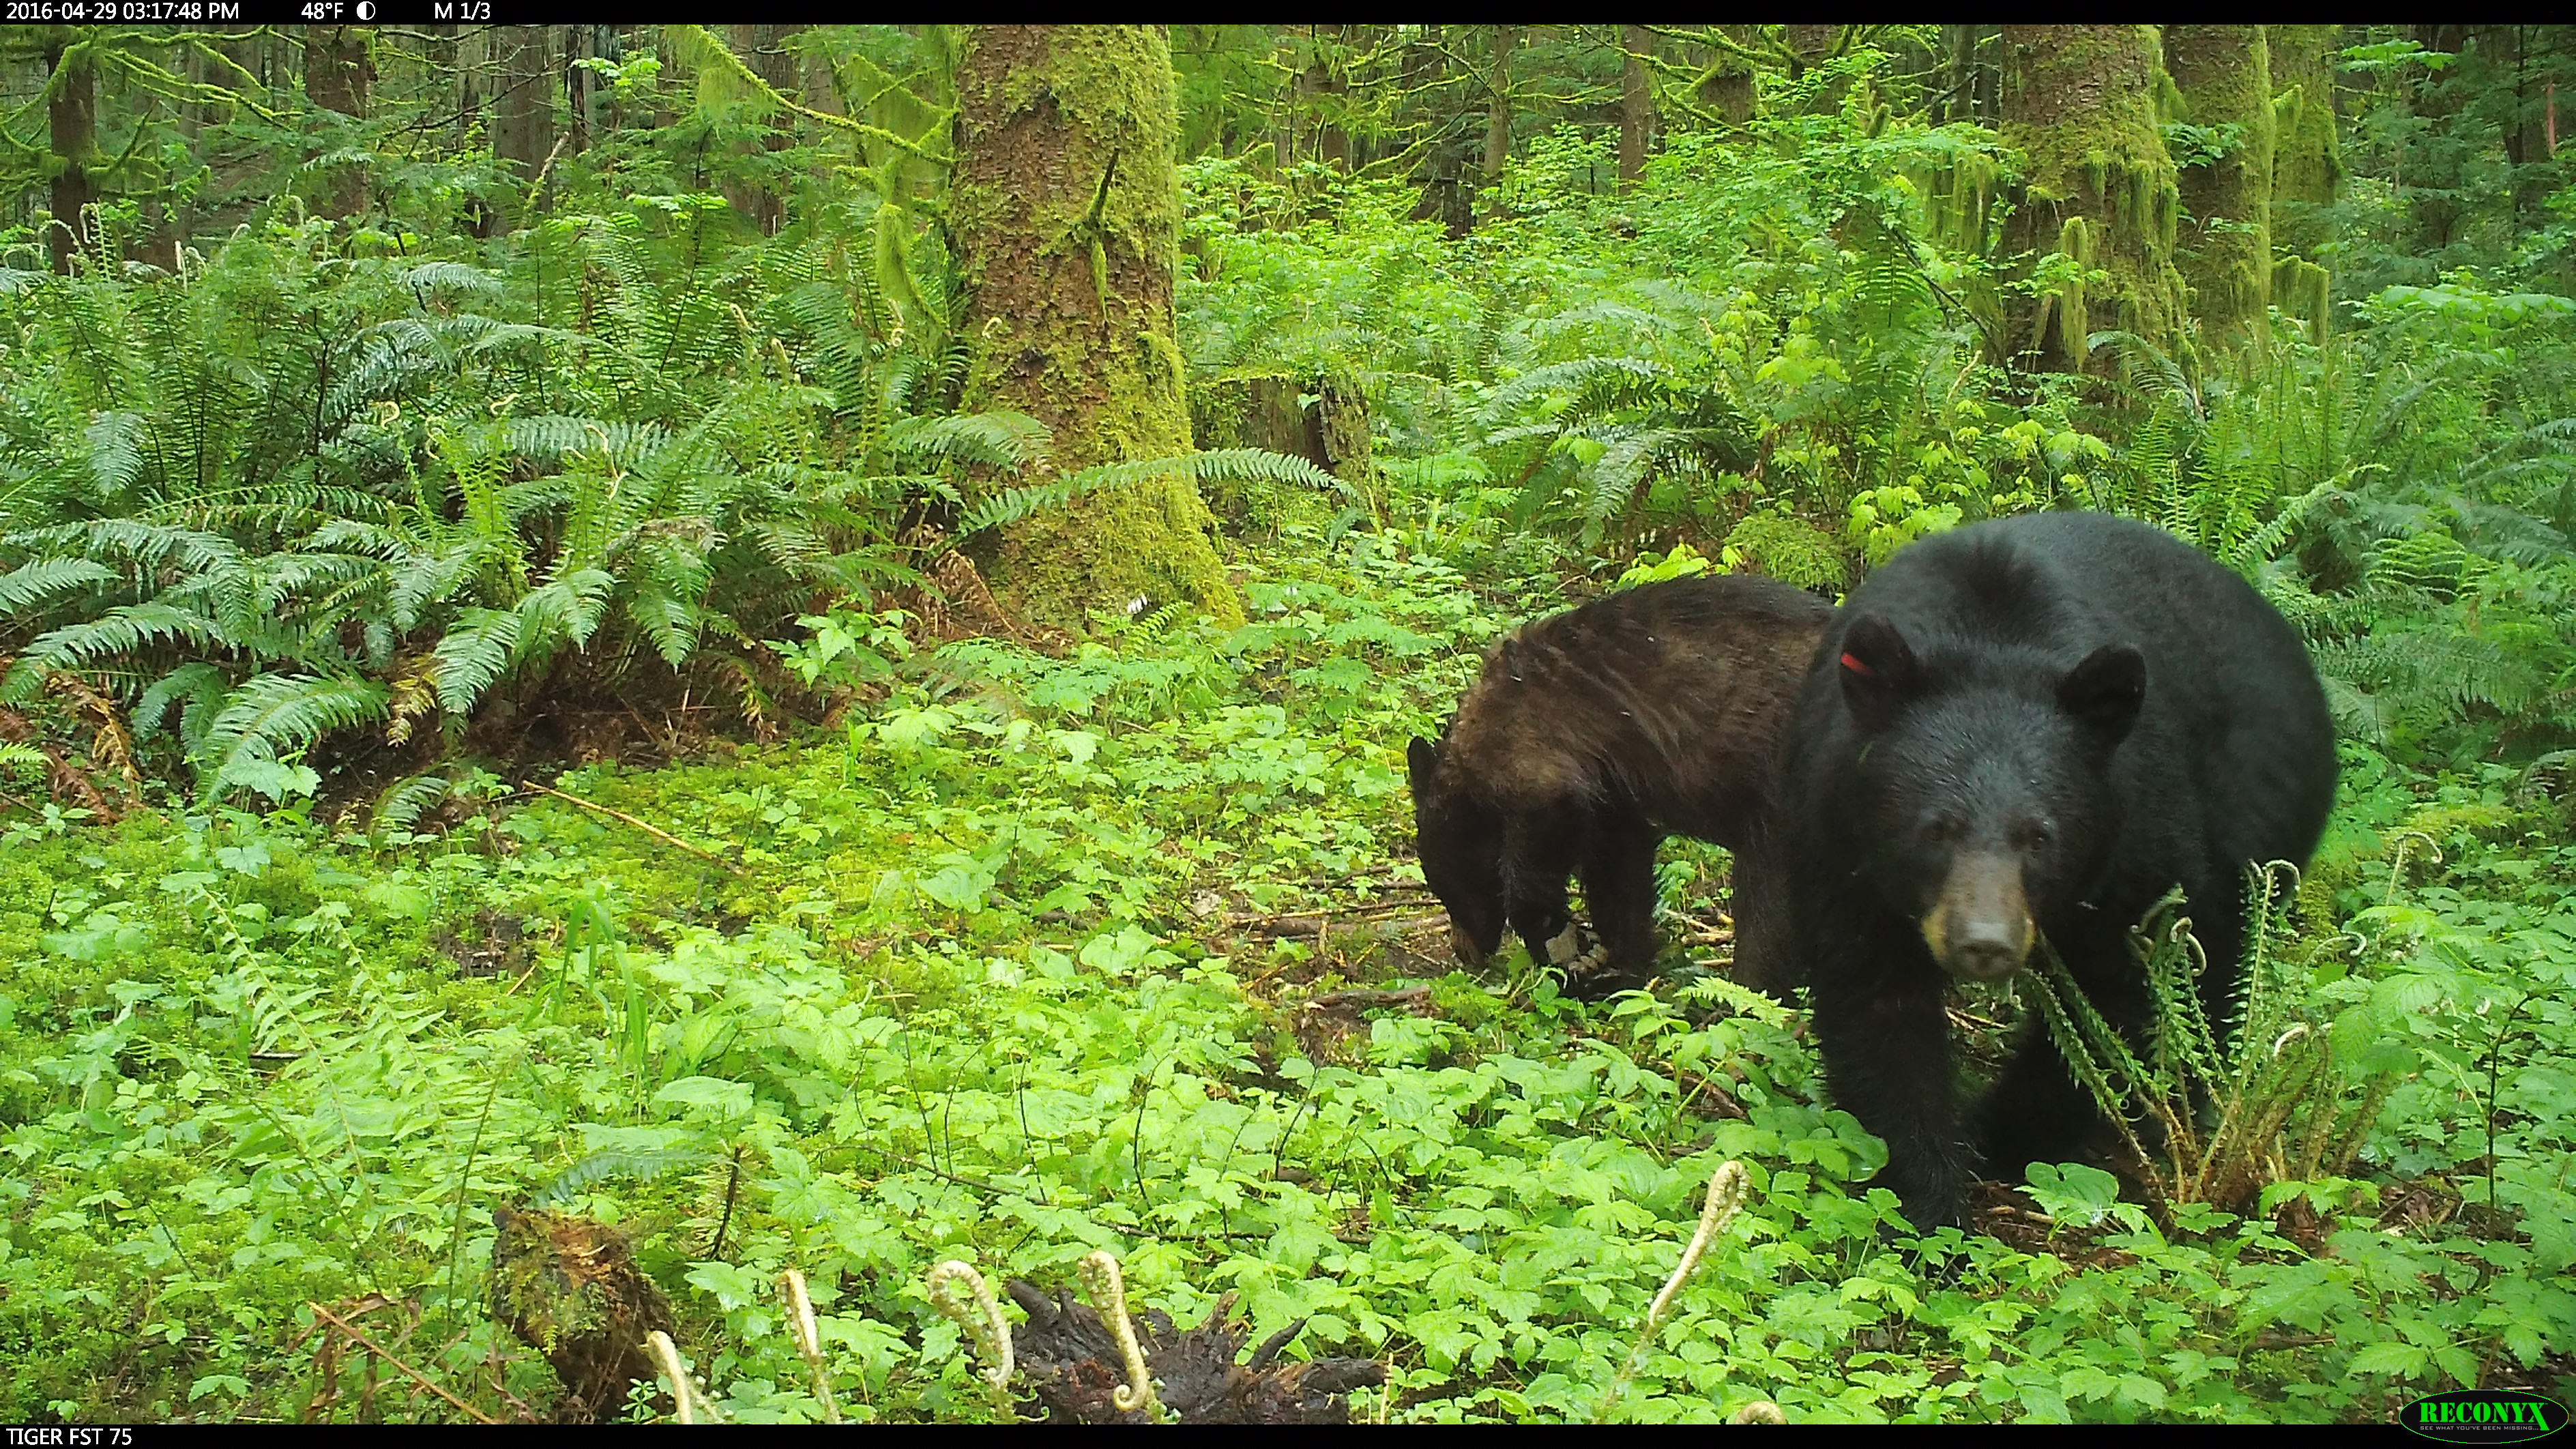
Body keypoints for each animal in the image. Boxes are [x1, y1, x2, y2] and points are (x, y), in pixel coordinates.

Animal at [1411, 572, 1834, 990]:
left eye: (1447, 887)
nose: (1464, 951)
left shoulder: (1535, 747)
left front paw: (1569, 945)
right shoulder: (1614, 792)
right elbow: (1621, 869)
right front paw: (1618, 960)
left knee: (1768, 895)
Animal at [1761, 513, 2349, 1222]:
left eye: (2039, 836)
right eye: (1937, 829)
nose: (1983, 943)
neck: (1989, 638)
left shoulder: (2137, 838)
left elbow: (2118, 998)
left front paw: (2003, 1135)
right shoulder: (1839, 840)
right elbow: (1877, 1007)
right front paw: (1927, 1200)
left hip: (2259, 813)